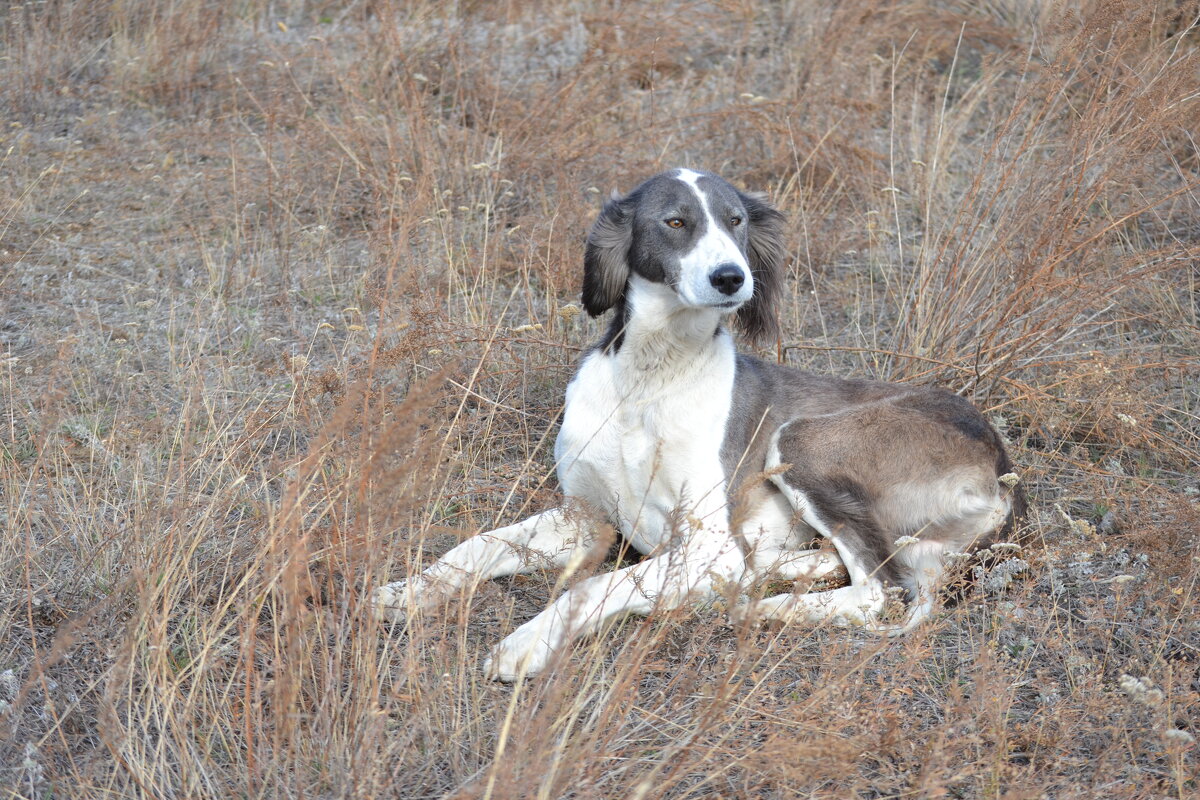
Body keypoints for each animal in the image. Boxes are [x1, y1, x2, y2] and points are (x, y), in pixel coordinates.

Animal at [372, 169, 1022, 681]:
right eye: (676, 222)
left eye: (735, 221)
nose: (733, 278)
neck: (650, 379)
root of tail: (1001, 465)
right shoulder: (587, 519)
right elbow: (476, 544)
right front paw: (407, 591)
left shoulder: (707, 542)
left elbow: (594, 585)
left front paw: (526, 642)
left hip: (801, 441)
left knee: (872, 593)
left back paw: (757, 604)